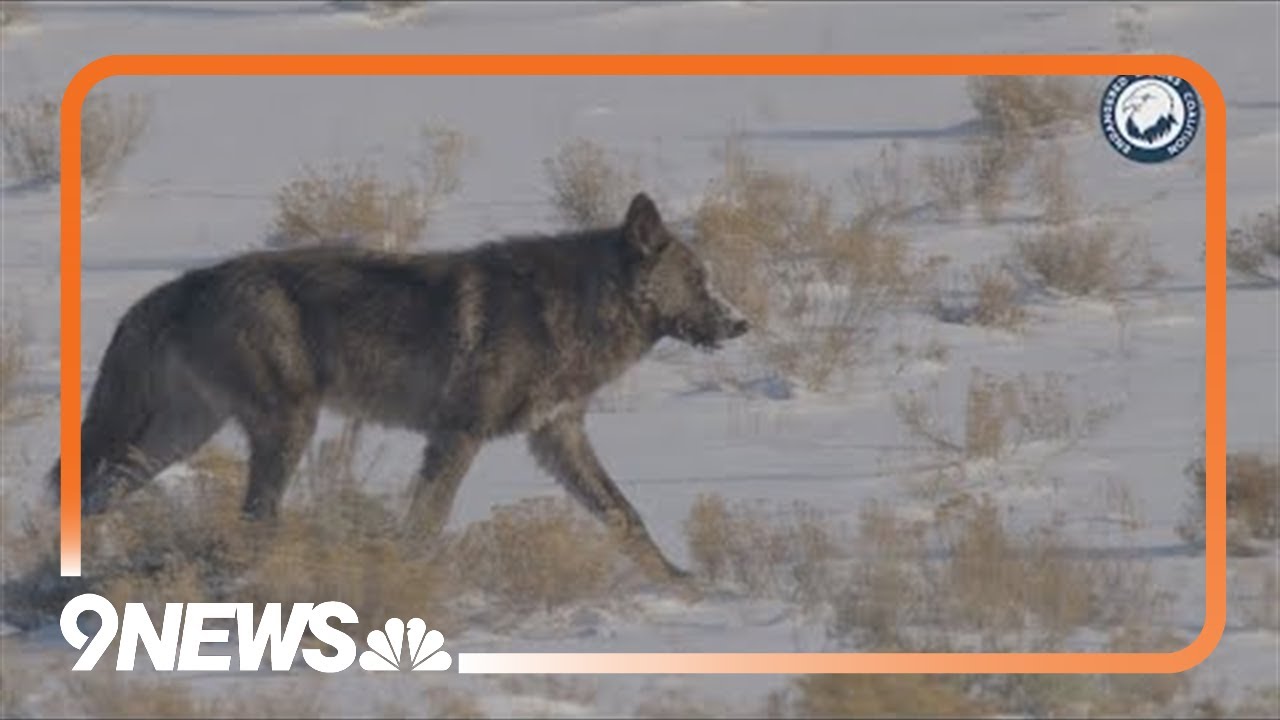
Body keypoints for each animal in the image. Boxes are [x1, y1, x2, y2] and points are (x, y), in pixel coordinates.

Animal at [47, 193, 748, 580]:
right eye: (701, 282)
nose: (743, 323)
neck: (571, 310)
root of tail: (184, 283)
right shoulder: (458, 434)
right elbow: (426, 523)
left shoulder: (557, 437)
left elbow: (625, 516)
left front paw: (679, 582)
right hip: (281, 429)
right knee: (252, 519)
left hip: (175, 440)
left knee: (93, 492)